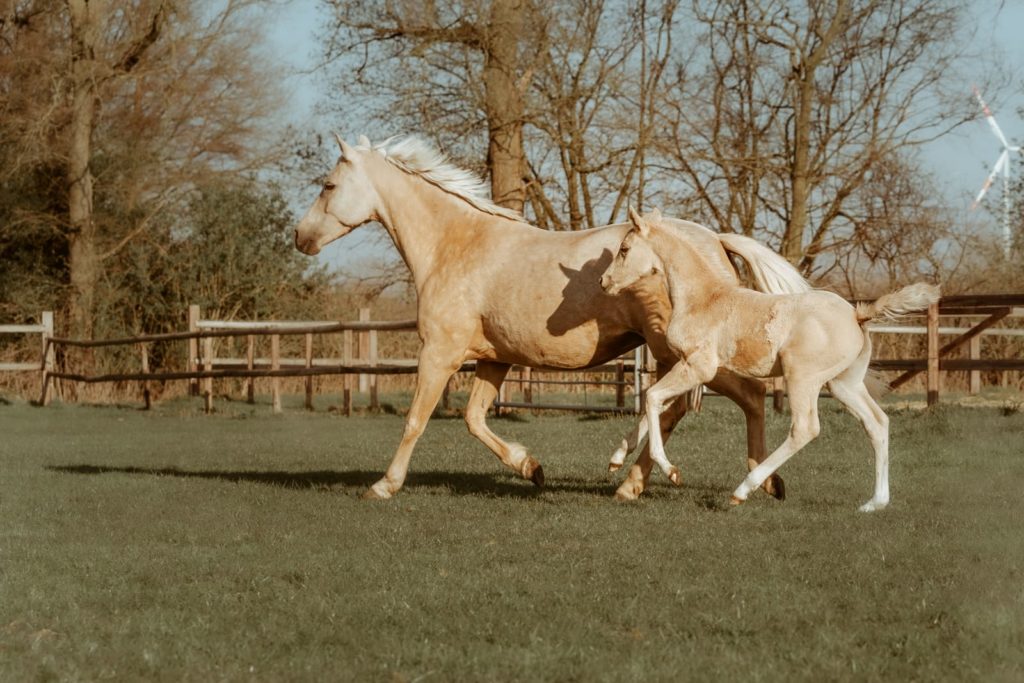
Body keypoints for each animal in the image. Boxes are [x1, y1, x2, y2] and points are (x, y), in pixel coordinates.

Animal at [294, 133, 806, 499]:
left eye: (328, 185)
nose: (301, 237)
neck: (454, 245)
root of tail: (715, 240)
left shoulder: (439, 353)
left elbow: (416, 420)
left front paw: (384, 485)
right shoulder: (492, 359)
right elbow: (474, 419)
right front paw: (531, 468)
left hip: (686, 356)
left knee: (694, 403)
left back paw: (640, 484)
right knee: (736, 399)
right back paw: (758, 482)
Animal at [598, 208, 942, 511]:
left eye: (624, 249)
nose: (604, 282)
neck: (704, 299)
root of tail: (857, 314)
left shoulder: (699, 367)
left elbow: (653, 399)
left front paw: (671, 471)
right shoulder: (687, 367)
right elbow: (652, 406)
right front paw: (616, 459)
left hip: (802, 379)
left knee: (805, 428)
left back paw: (742, 490)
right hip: (844, 384)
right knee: (877, 423)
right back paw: (875, 503)